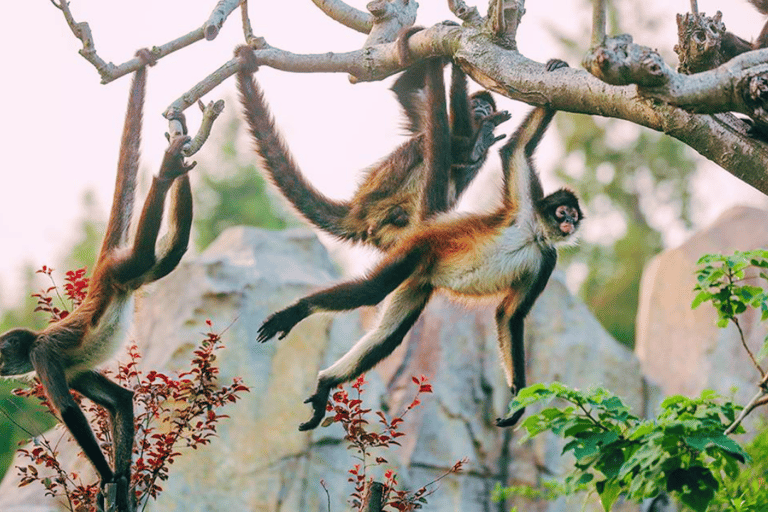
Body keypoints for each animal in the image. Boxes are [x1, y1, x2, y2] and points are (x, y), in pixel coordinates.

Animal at [0, 51, 195, 512]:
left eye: (0, 350)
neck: (33, 342)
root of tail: (102, 266)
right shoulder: (72, 370)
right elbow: (121, 401)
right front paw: (119, 481)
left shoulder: (42, 357)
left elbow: (71, 413)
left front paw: (106, 475)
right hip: (138, 273)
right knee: (175, 249)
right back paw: (178, 144)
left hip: (124, 269)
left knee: (151, 242)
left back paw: (165, 170)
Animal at [234, 42, 510, 252]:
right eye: (478, 106)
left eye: (486, 107)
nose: (482, 110)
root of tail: (359, 209)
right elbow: (403, 89)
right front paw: (446, 54)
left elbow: (465, 159)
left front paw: (477, 143)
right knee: (421, 142)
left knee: (426, 147)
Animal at [258, 57, 584, 432]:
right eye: (562, 211)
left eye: (574, 216)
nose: (569, 223)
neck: (534, 233)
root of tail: (429, 224)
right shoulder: (526, 207)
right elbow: (514, 149)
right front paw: (556, 71)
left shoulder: (547, 258)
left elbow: (509, 315)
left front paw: (518, 399)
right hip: (418, 251)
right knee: (372, 290)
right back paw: (295, 313)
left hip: (421, 279)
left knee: (388, 334)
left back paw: (326, 383)